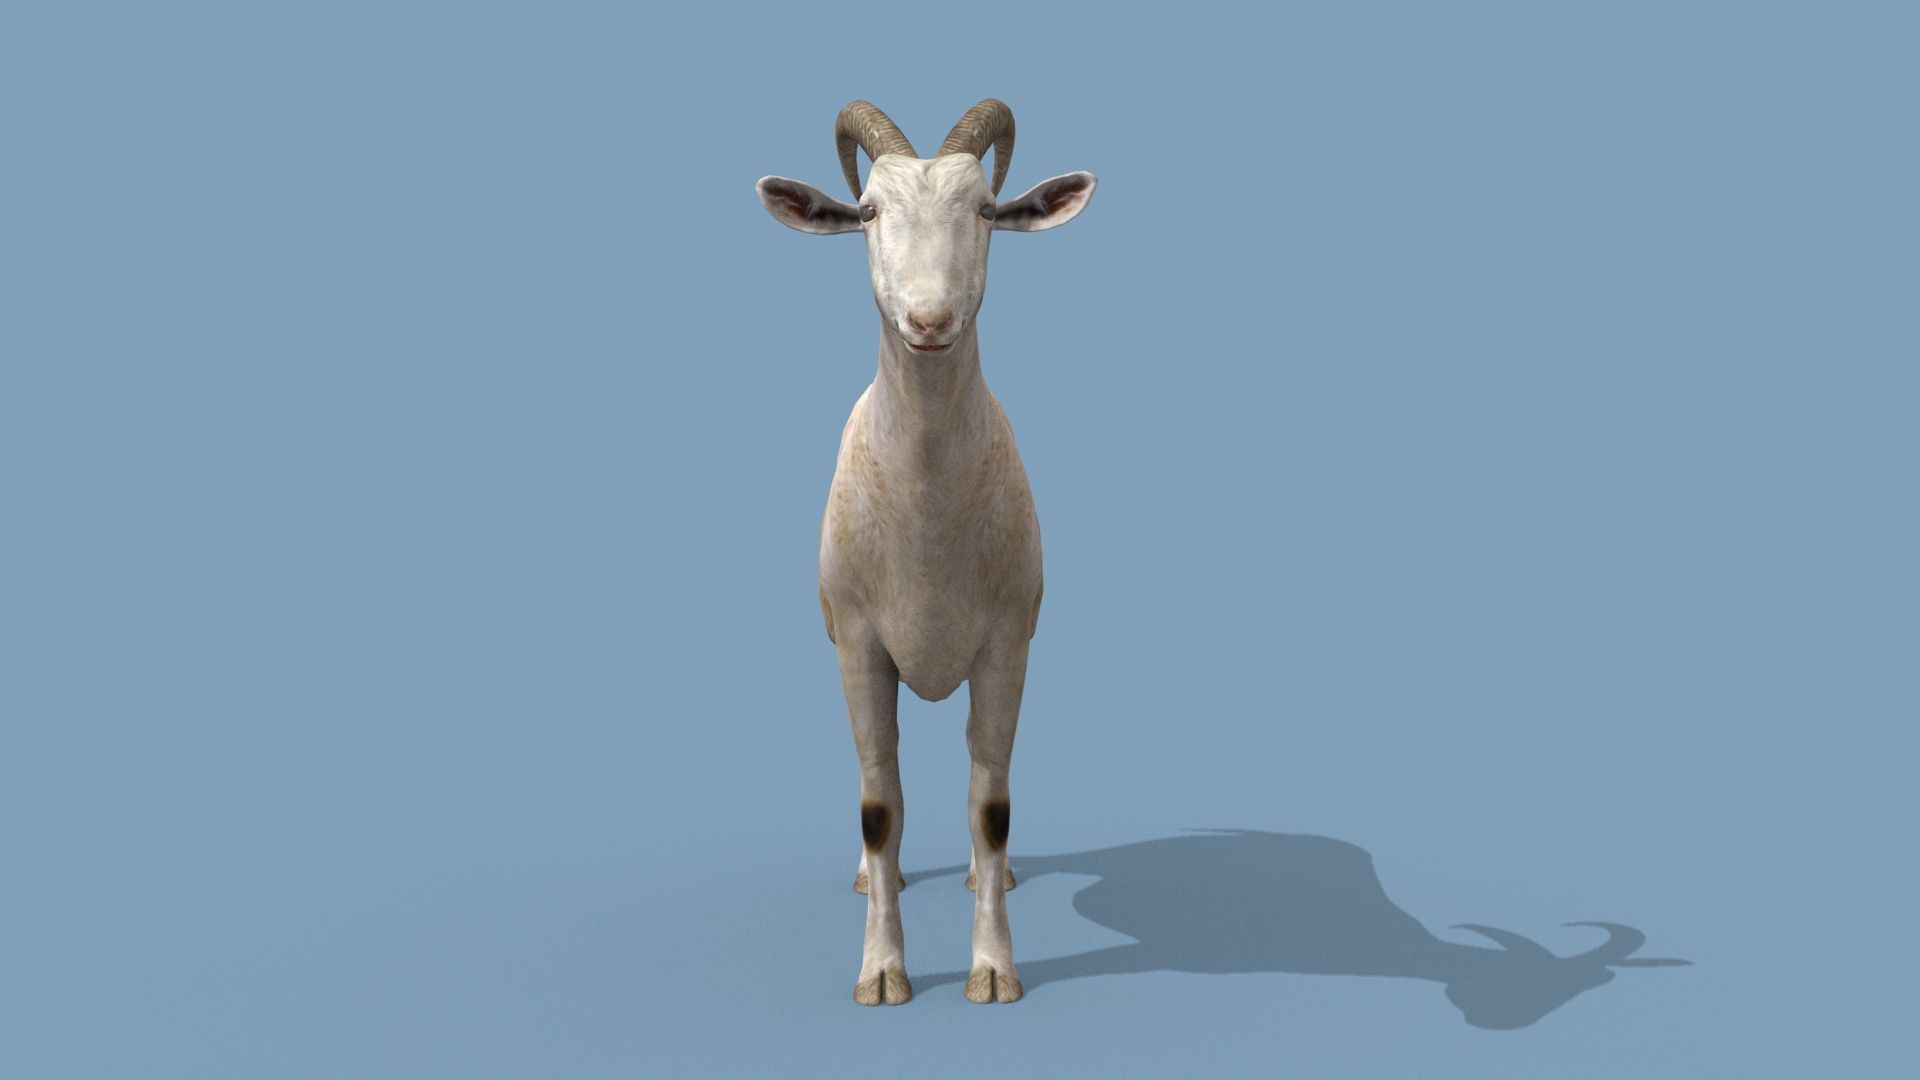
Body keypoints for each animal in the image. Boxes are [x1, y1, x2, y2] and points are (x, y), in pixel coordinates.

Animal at [757, 100, 1095, 1005]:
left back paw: (992, 875)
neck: (928, 535)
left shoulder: (1007, 644)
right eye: (869, 211)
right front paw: (881, 976)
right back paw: (872, 880)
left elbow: (991, 808)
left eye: (984, 209)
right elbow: (880, 808)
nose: (930, 322)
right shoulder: (859, 646)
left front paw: (994, 972)